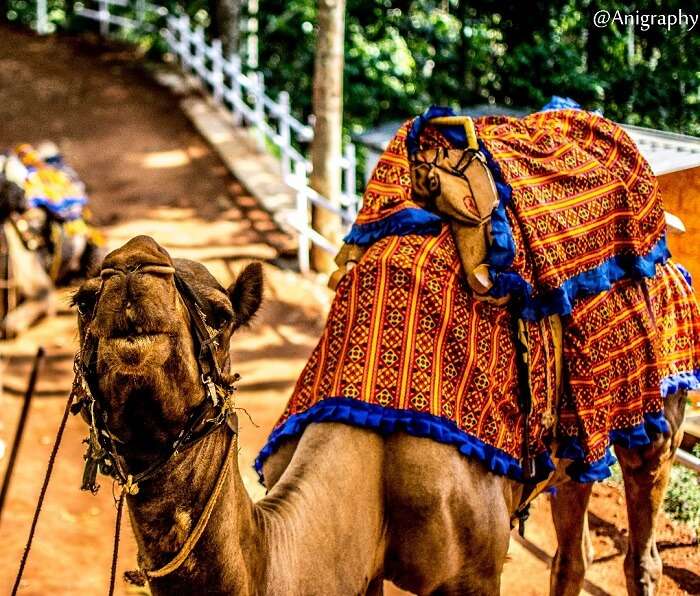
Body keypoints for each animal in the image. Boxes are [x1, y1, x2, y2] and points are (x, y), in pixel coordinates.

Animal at [72, 105, 700, 592]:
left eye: (222, 317)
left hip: (660, 414)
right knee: (572, 547)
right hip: (574, 449)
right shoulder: (360, 563)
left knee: (641, 544)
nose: (133, 267)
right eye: (83, 300)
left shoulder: (475, 572)